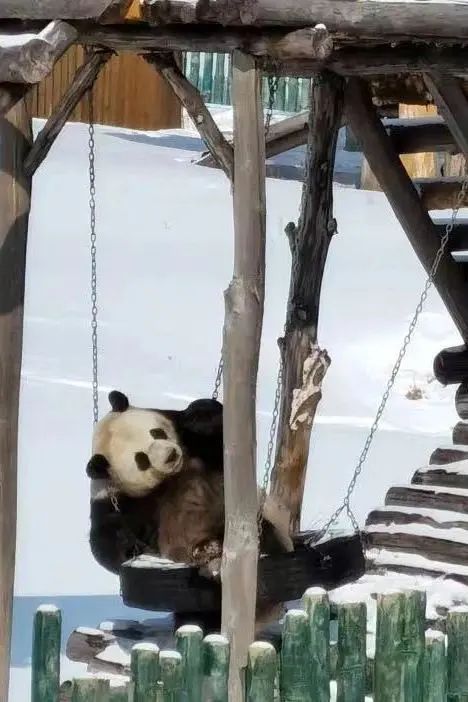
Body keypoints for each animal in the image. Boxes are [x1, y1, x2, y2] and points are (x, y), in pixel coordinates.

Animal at [87, 391, 291, 577]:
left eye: (156, 433)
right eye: (142, 459)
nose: (170, 456)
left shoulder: (201, 448)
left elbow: (217, 429)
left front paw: (197, 419)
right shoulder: (118, 500)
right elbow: (105, 541)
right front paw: (127, 542)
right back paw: (206, 549)